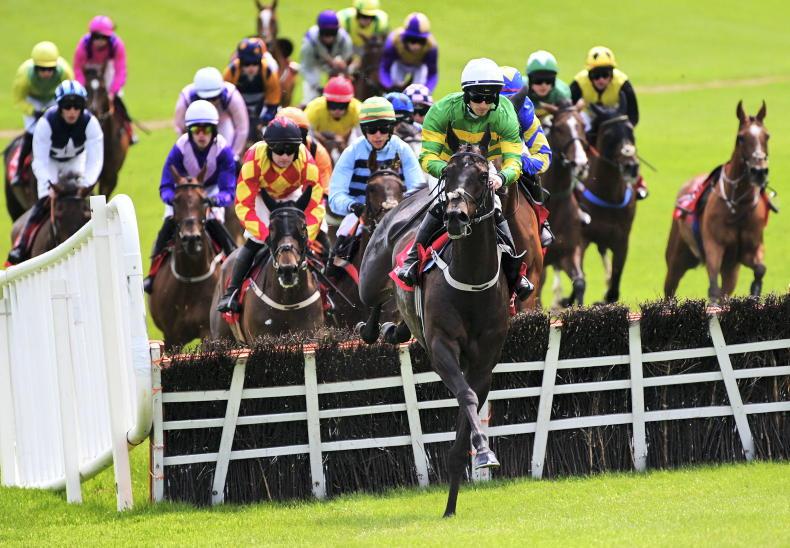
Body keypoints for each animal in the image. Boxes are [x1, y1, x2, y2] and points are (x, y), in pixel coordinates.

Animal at [149, 167, 223, 350]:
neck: (191, 277)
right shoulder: (171, 337)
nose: (191, 239)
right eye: (175, 201)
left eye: (204, 201)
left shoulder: (207, 332)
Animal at [358, 128, 509, 517]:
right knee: (372, 304)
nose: (454, 216)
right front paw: (483, 452)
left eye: (483, 176)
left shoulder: (484, 363)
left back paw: (394, 328)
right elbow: (465, 395)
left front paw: (458, 492)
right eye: (448, 174)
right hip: (370, 276)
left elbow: (467, 407)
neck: (470, 279)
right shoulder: (441, 347)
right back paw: (375, 327)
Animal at [578, 100, 639, 303]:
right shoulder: (582, 238)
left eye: (630, 131)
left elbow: (613, 290)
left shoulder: (621, 240)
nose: (631, 166)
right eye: (609, 135)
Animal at [664, 101, 771, 302]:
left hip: (730, 270)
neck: (737, 207)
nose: (759, 171)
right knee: (670, 287)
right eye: (741, 137)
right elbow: (713, 287)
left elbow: (760, 269)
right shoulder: (714, 246)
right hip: (677, 257)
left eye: (767, 136)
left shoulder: (747, 251)